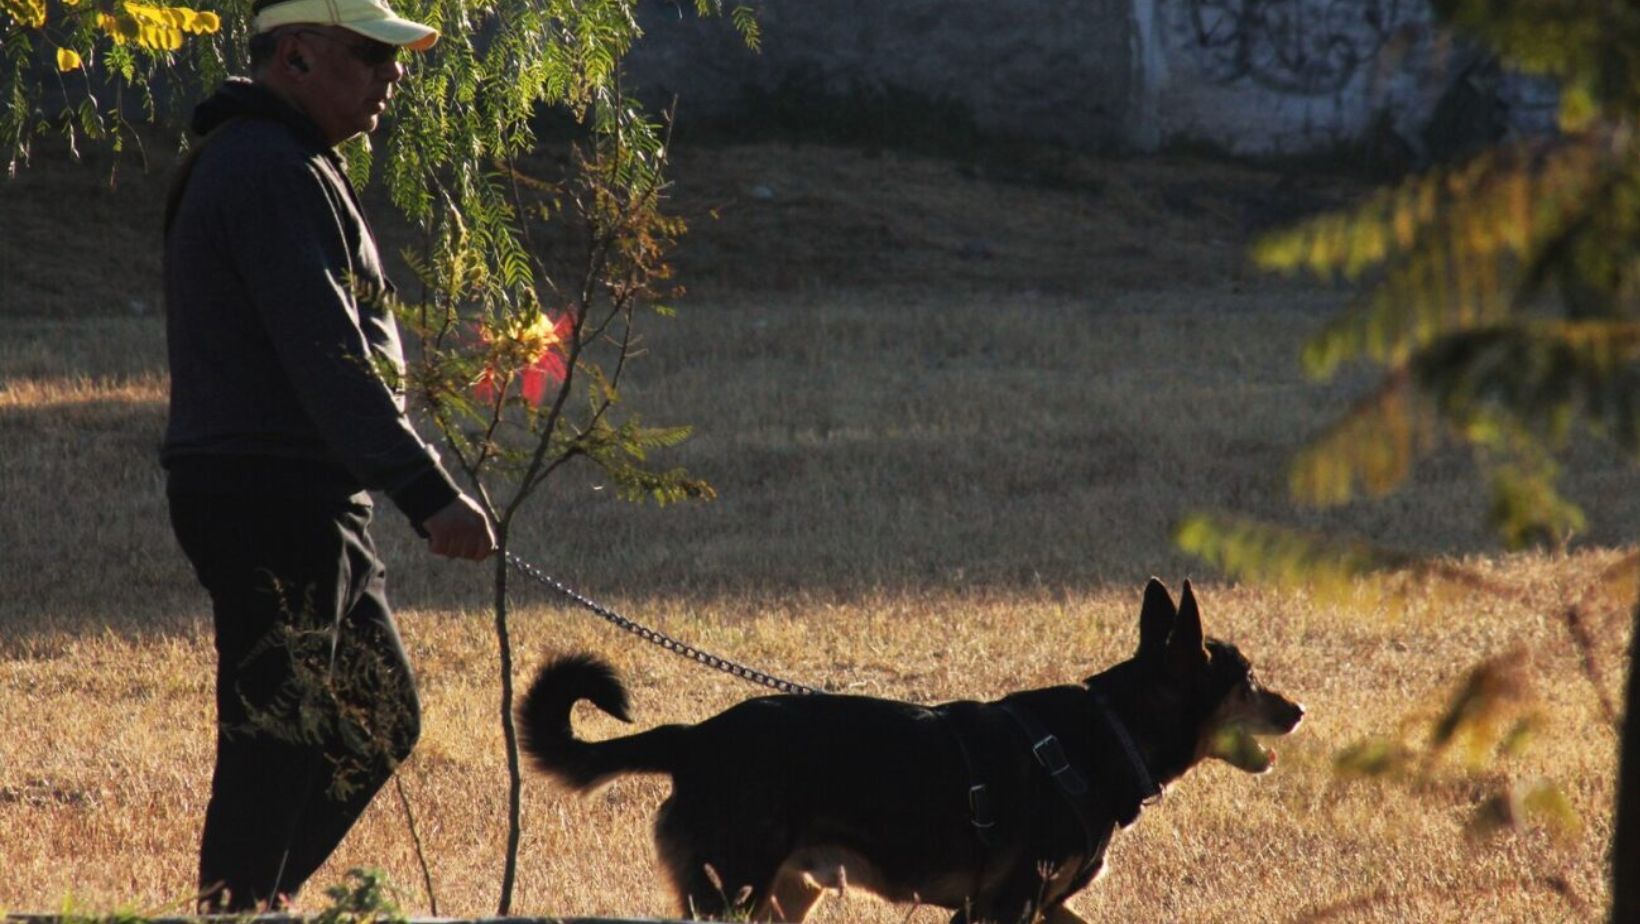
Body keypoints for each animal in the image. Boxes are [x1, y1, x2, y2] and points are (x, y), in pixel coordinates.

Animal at [518, 580, 1298, 919]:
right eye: (1248, 680)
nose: (1299, 711)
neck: (1107, 733)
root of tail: (694, 740)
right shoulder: (1005, 907)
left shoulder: (1030, 909)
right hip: (732, 894)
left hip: (781, 898)